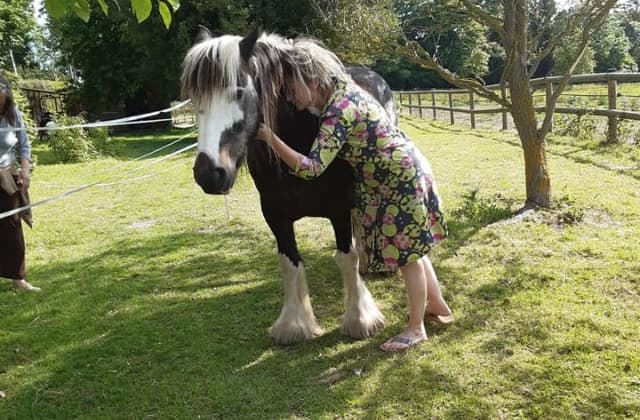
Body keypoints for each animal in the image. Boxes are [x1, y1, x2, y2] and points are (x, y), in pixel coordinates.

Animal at [180, 27, 396, 346]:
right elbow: (290, 263)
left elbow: (346, 257)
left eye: (239, 90)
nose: (209, 174)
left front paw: (360, 319)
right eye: (195, 97)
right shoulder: (275, 214)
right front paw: (294, 324)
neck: (301, 131)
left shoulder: (338, 209)